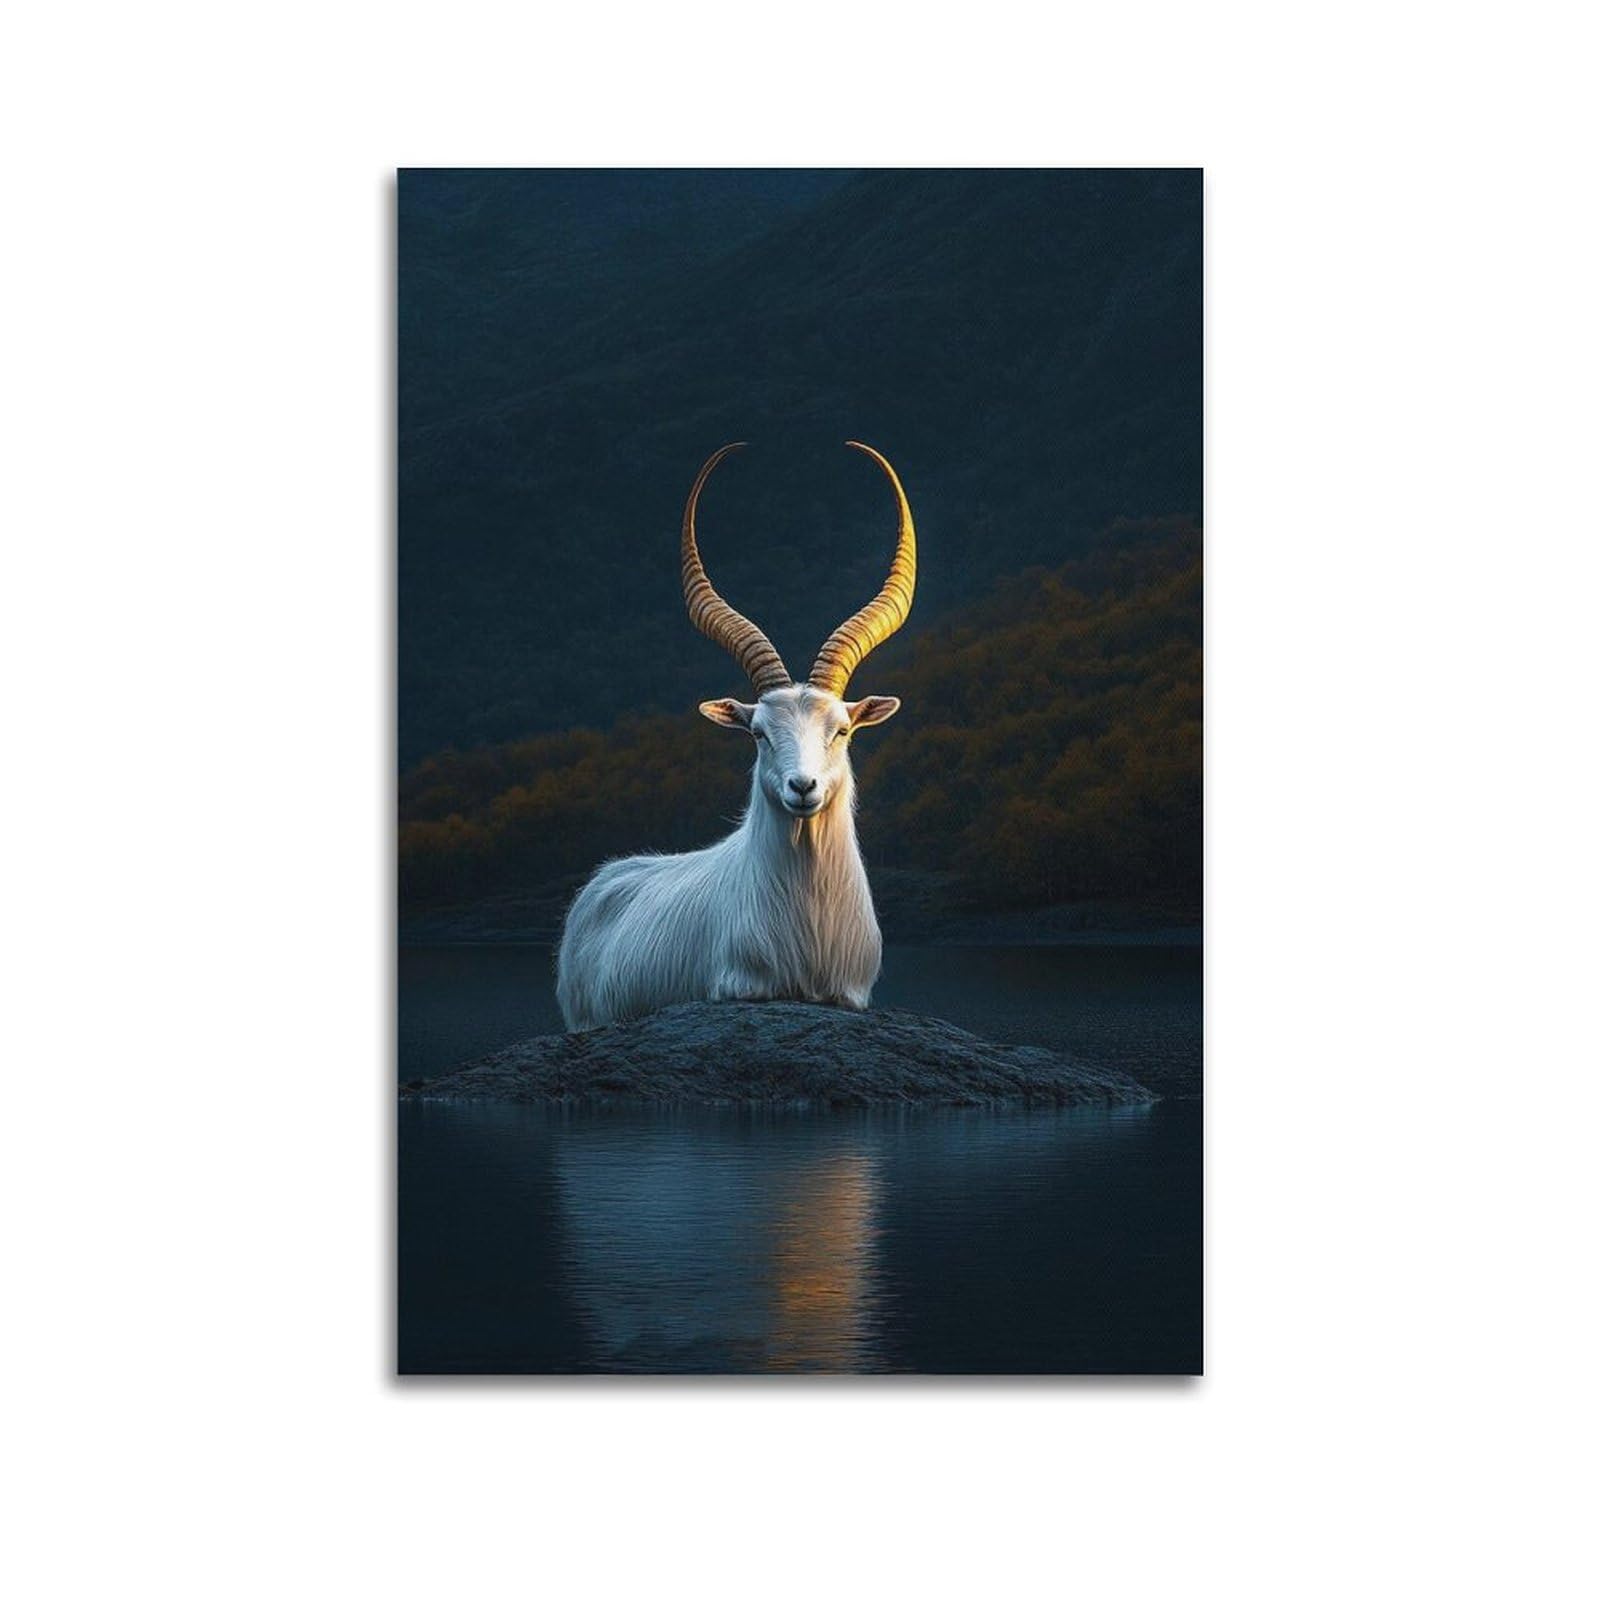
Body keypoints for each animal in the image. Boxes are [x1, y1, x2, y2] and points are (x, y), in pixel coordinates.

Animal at [556, 441, 916, 1031]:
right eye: (759, 734)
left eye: (841, 730)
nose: (802, 788)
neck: (808, 918)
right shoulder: (739, 990)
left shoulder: (852, 996)